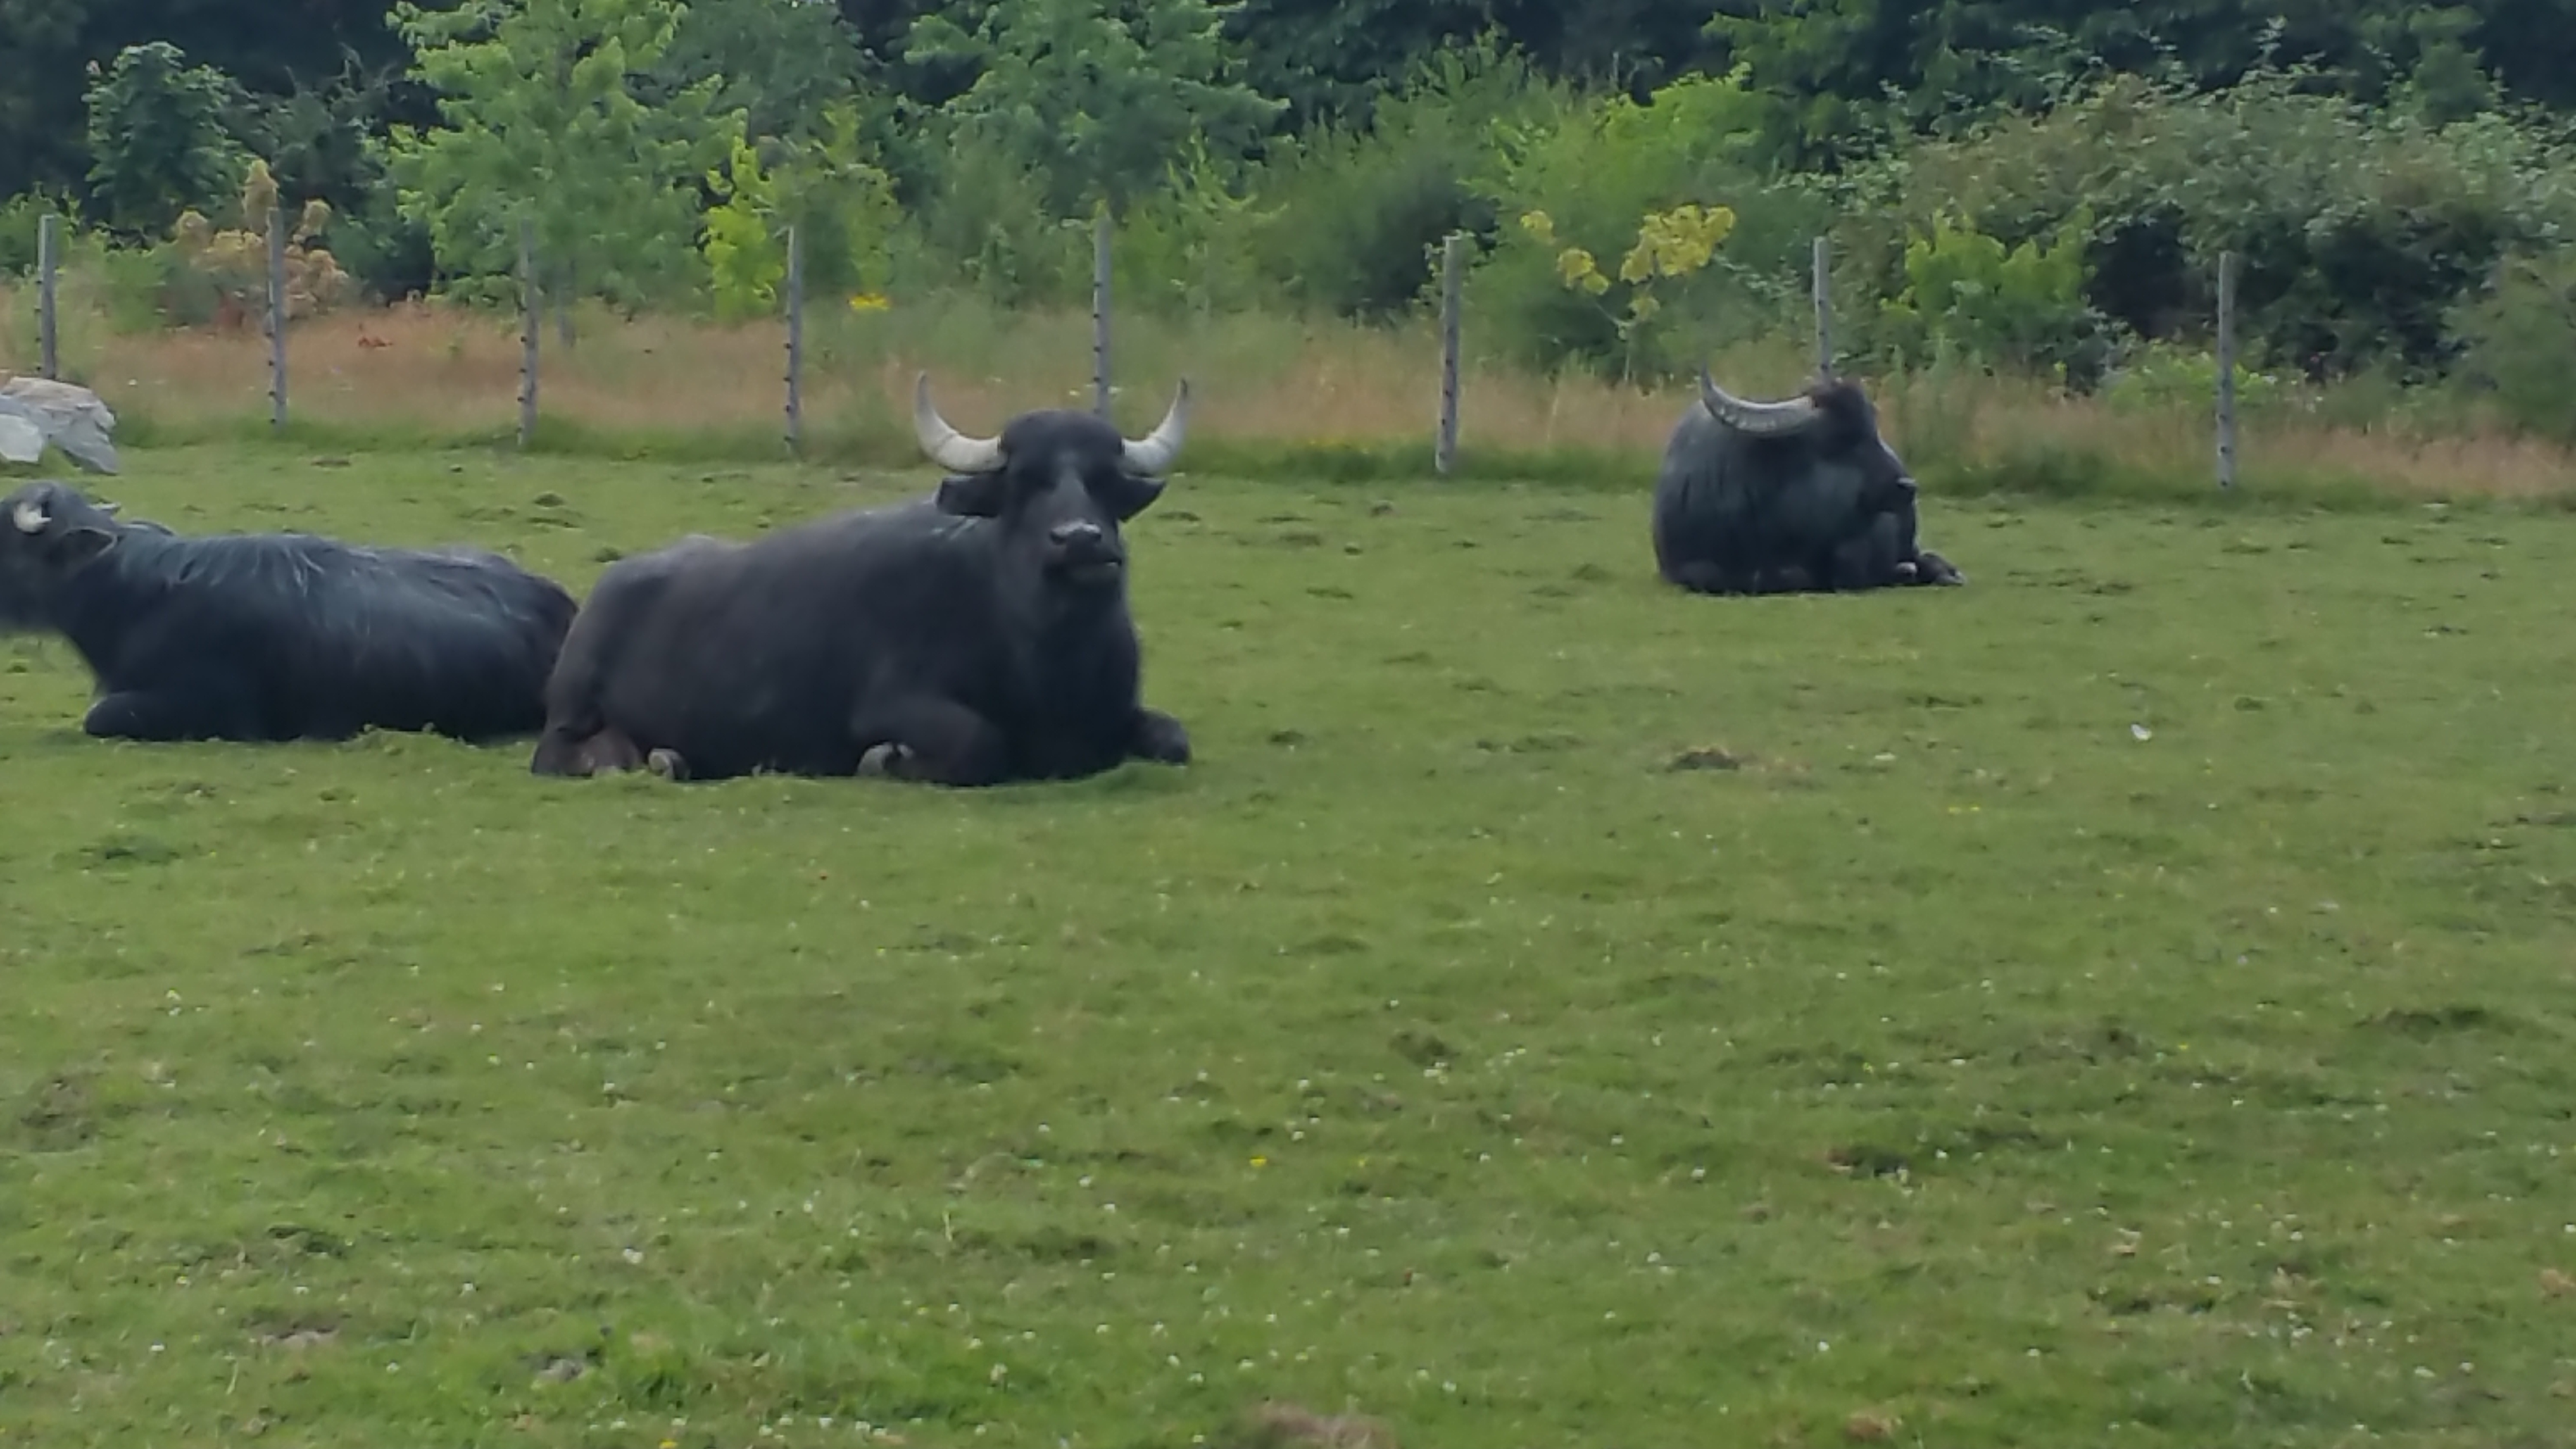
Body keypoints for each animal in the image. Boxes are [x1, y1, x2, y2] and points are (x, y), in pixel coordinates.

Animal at [527, 372, 1195, 787]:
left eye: (1103, 481)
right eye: (1025, 482)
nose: (1080, 539)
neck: (1045, 657)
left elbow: (1174, 738)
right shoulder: (893, 703)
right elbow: (978, 742)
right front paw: (883, 761)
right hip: (570, 711)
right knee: (561, 754)